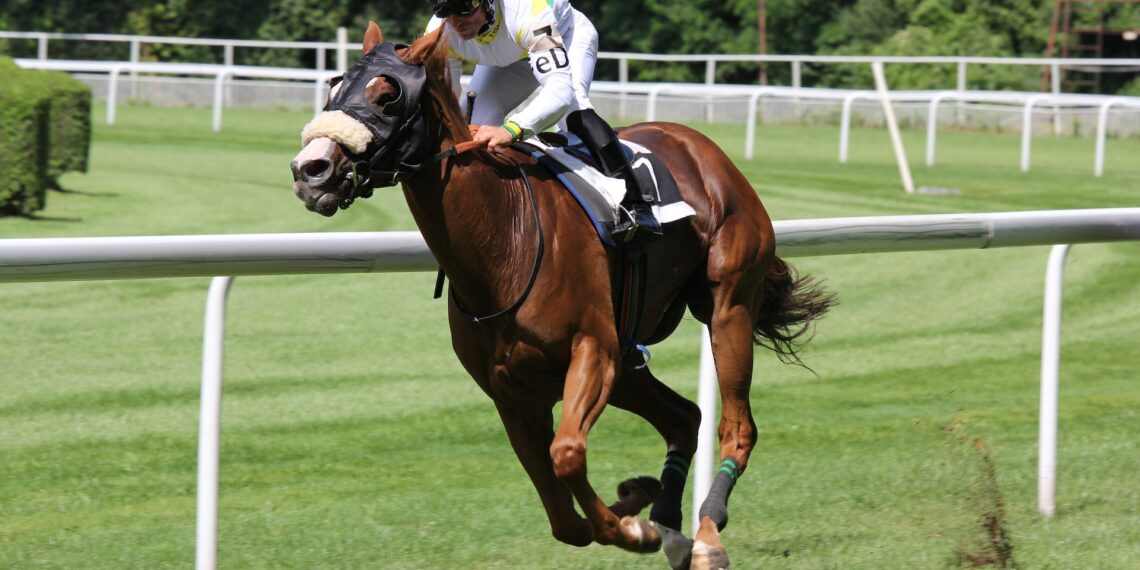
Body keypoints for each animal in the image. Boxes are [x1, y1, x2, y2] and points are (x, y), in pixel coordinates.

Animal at [290, 22, 834, 569]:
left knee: (736, 426)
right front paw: (636, 507)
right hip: (628, 361)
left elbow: (567, 455)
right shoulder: (512, 393)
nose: (310, 169)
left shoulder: (592, 350)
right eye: (334, 89)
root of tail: (701, 145)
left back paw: (705, 536)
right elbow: (563, 518)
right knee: (685, 417)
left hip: (726, 307)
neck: (504, 241)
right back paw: (670, 526)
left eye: (388, 95)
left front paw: (633, 528)